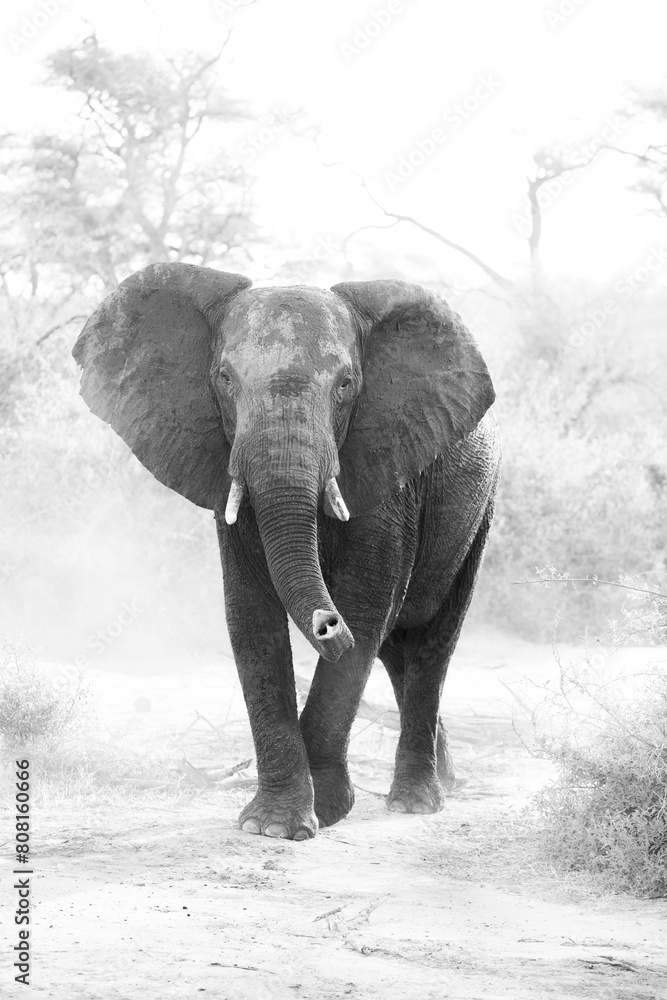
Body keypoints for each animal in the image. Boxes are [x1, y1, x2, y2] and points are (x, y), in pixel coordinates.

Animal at [73, 264, 500, 836]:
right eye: (224, 379)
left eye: (347, 385)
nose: (326, 624)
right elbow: (251, 616)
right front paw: (273, 826)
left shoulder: (390, 468)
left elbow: (367, 606)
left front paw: (327, 810)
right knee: (395, 651)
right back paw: (444, 781)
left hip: (479, 509)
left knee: (431, 639)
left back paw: (416, 802)